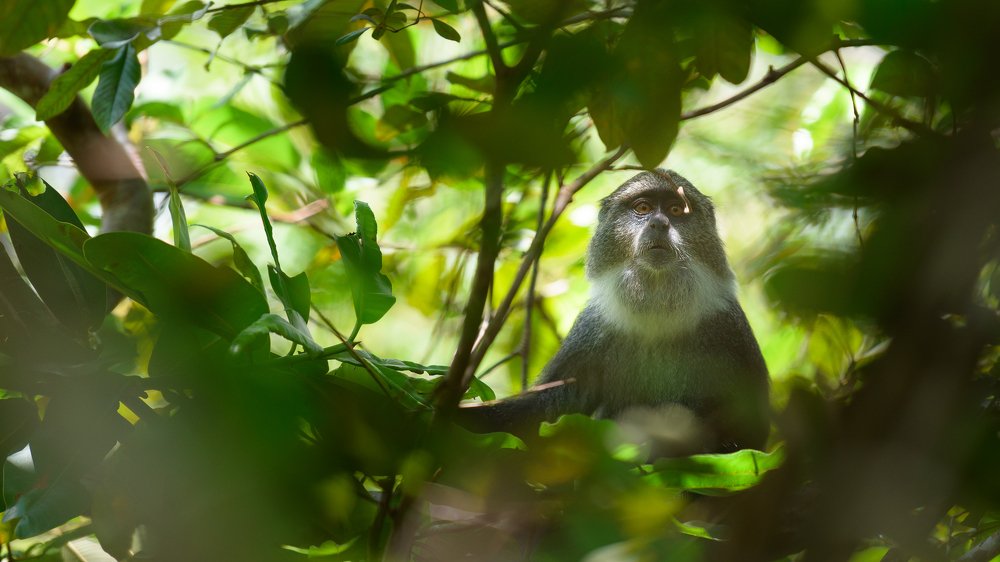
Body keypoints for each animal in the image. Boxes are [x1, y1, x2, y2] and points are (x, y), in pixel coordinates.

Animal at [459, 169, 770, 454]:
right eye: (642, 208)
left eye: (676, 210)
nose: (659, 223)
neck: (657, 307)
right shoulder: (593, 328)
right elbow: (542, 411)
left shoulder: (729, 327)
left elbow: (747, 432)